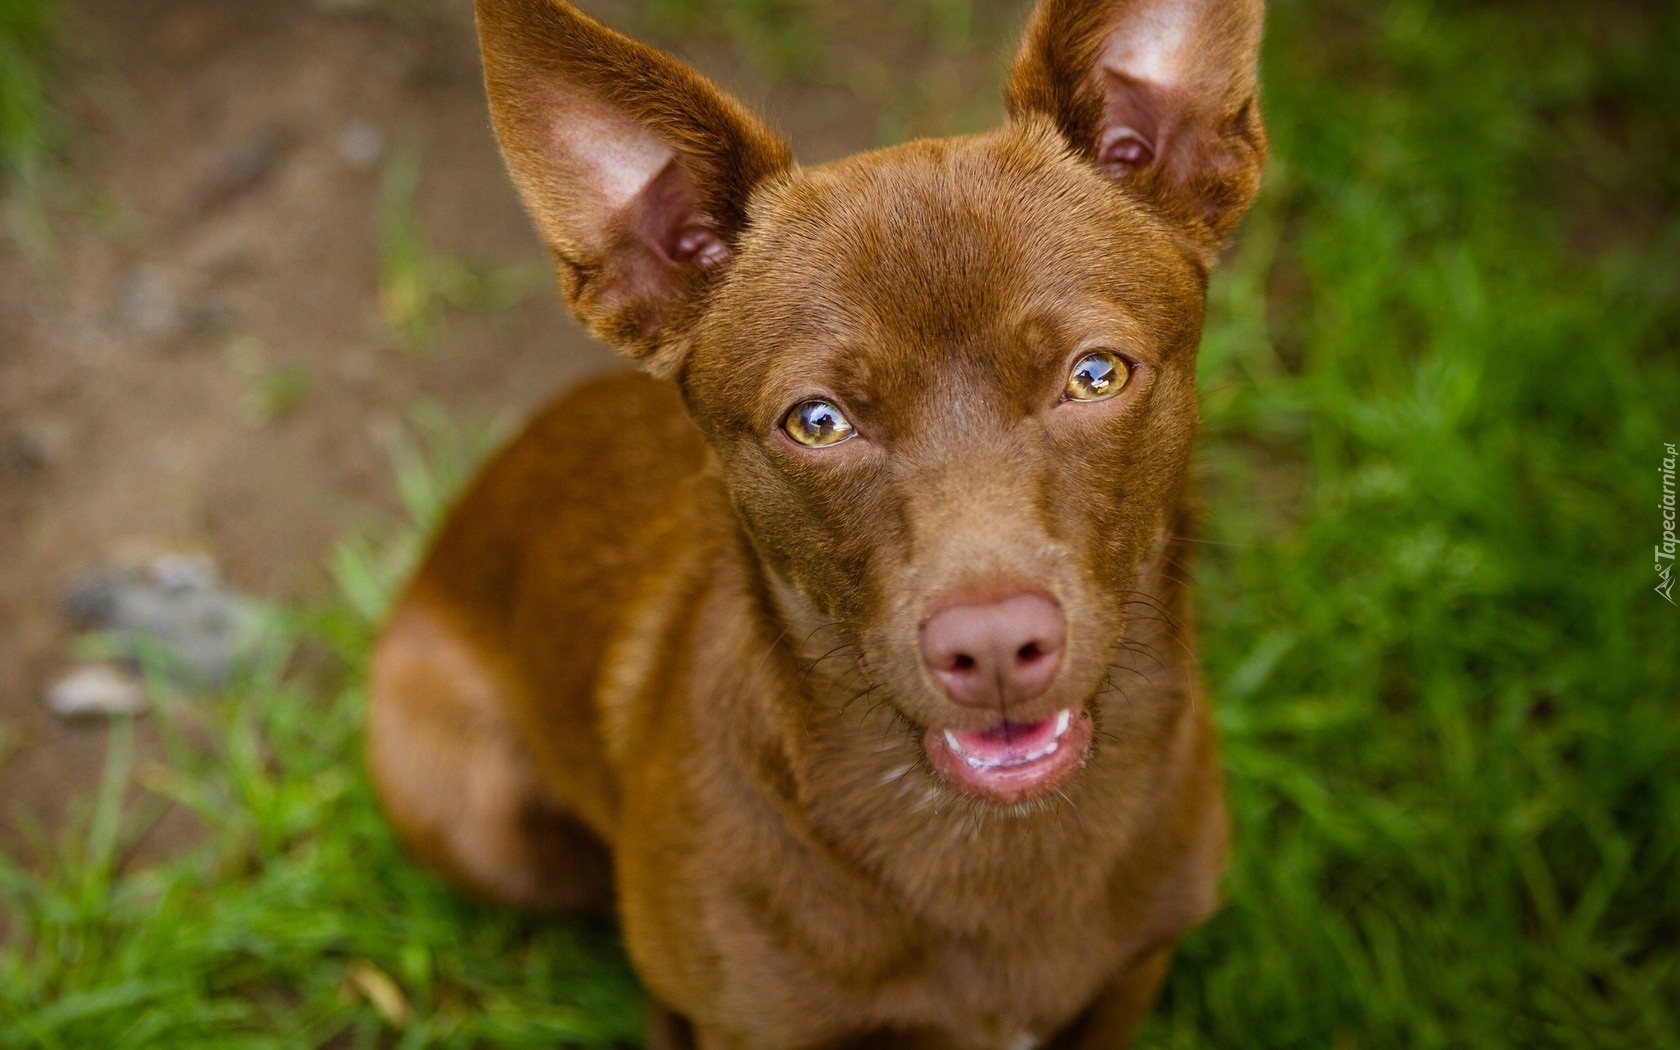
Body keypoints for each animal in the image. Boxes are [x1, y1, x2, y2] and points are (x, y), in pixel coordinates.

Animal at [367, 2, 1263, 1041]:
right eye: (818, 422)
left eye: (1096, 374)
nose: (994, 646)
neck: (992, 853)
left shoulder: (1130, 978)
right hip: (483, 822)